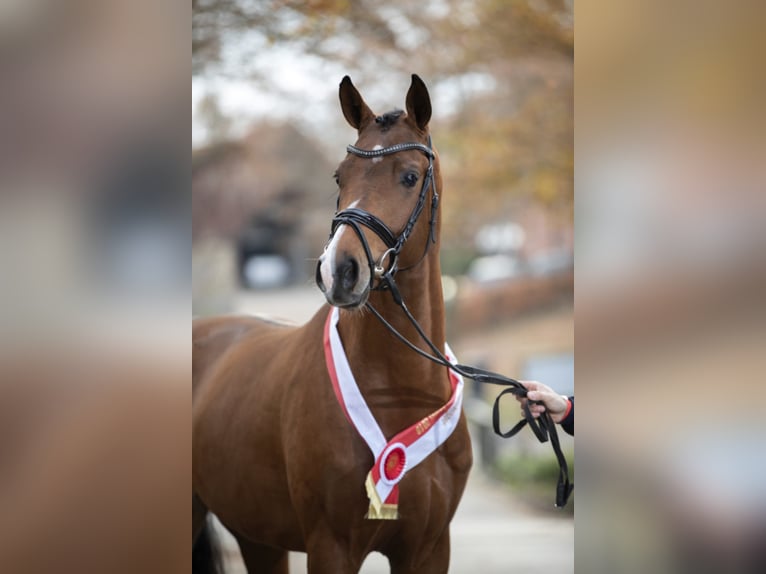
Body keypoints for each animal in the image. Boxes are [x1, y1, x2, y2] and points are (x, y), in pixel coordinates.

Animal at [192, 74, 474, 572]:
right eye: (340, 176)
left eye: (409, 176)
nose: (339, 270)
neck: (400, 394)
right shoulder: (332, 546)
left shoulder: (430, 548)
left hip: (257, 535)